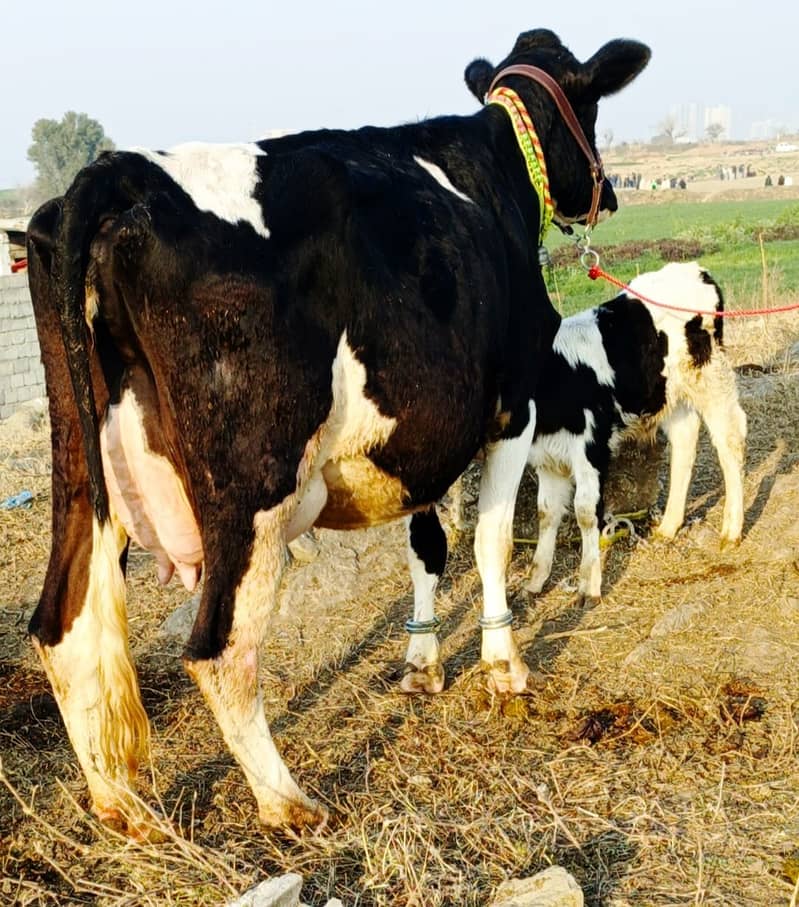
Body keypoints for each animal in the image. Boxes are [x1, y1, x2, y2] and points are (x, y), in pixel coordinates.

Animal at [26, 29, 650, 834]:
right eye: (593, 105)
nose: (611, 191)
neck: (489, 167)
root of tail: (115, 174)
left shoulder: (418, 438)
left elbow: (427, 544)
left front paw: (421, 667)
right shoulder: (511, 406)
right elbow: (489, 538)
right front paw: (504, 665)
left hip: (81, 466)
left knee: (63, 626)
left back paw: (120, 804)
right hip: (253, 484)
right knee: (217, 647)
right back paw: (287, 802)